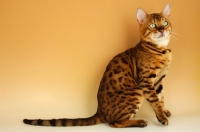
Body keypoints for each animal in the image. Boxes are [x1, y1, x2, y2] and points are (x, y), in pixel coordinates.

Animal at [23, 3, 172, 128]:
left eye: (165, 23)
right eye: (152, 26)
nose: (161, 30)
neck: (162, 50)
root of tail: (99, 111)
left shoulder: (158, 80)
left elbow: (161, 98)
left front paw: (164, 112)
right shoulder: (146, 80)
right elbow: (155, 100)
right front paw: (162, 117)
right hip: (136, 91)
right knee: (114, 123)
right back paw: (139, 122)